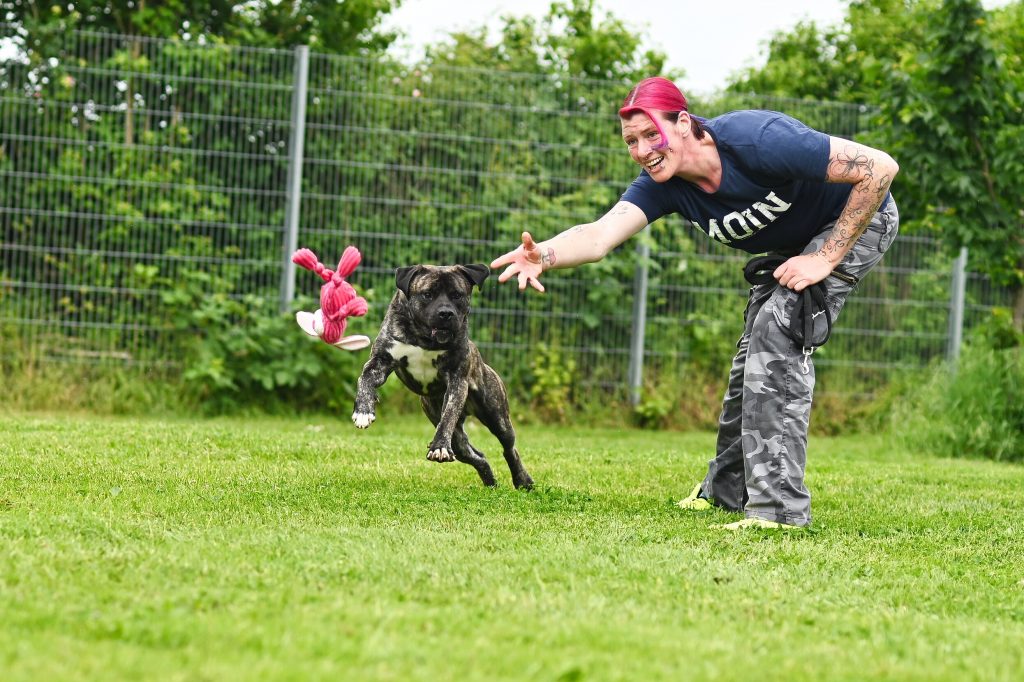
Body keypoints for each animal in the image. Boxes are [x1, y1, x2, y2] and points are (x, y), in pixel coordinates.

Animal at [351, 263, 534, 490]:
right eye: (427, 294)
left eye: (457, 295)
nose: (445, 313)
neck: (425, 339)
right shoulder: (380, 362)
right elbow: (364, 379)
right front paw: (363, 411)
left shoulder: (457, 380)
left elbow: (448, 417)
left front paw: (439, 447)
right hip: (457, 438)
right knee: (476, 455)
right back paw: (490, 483)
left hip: (498, 417)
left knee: (509, 448)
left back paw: (522, 480)